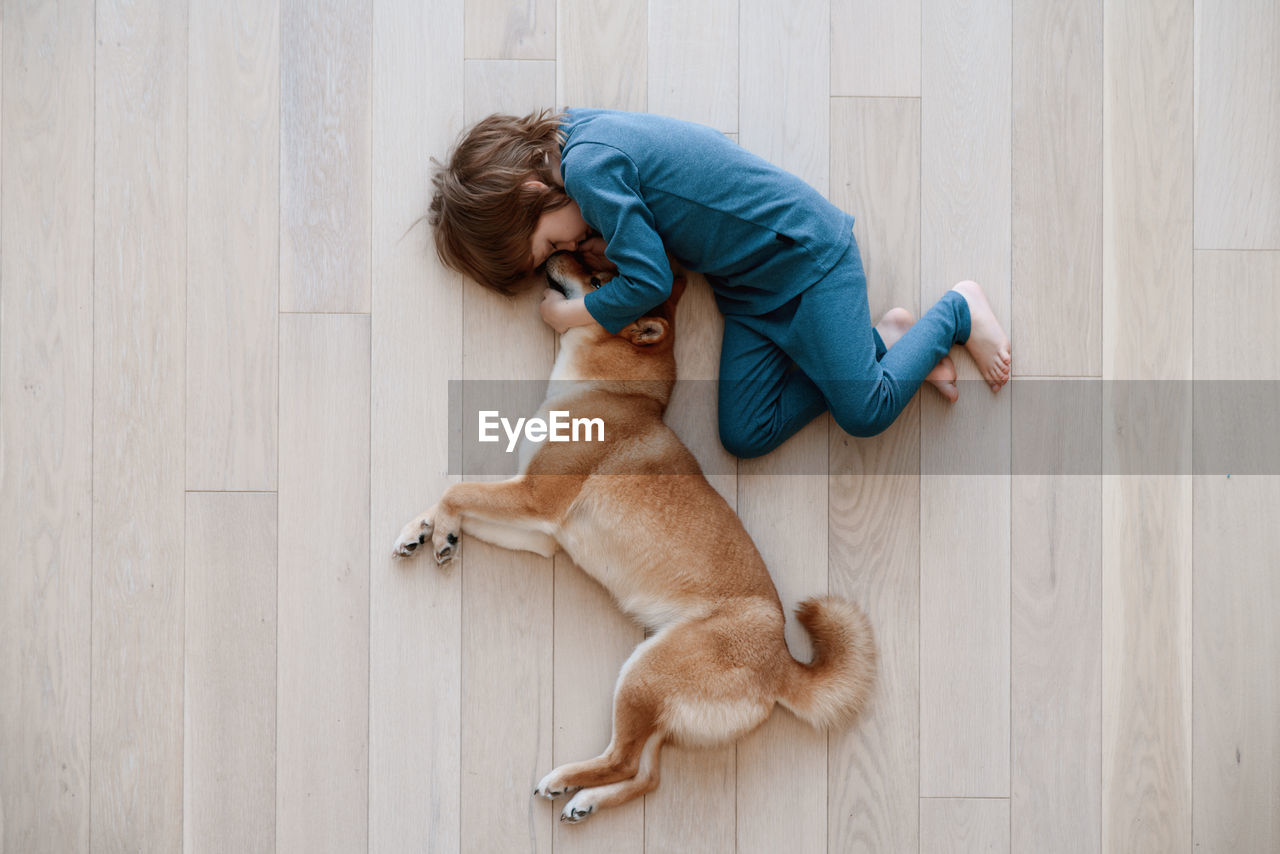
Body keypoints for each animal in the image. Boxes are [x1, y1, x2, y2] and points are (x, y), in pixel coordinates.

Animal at [391, 250, 870, 824]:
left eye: (600, 279)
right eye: (590, 256)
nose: (558, 252)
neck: (610, 391)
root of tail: (780, 666)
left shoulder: (535, 498)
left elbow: (458, 490)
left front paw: (441, 529)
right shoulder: (541, 530)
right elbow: (459, 502)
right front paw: (425, 531)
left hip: (644, 675)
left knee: (623, 758)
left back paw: (565, 779)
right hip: (657, 697)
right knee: (647, 775)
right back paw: (587, 801)